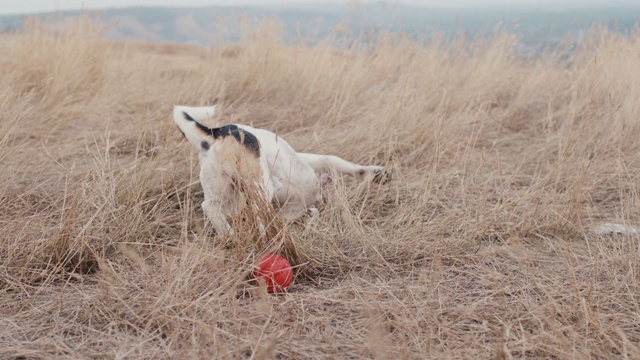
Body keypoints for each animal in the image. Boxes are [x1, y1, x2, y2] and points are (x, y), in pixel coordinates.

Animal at [172, 105, 390, 236]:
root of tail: (218, 132)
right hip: (259, 185)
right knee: (258, 214)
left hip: (224, 191)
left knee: (210, 207)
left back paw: (229, 234)